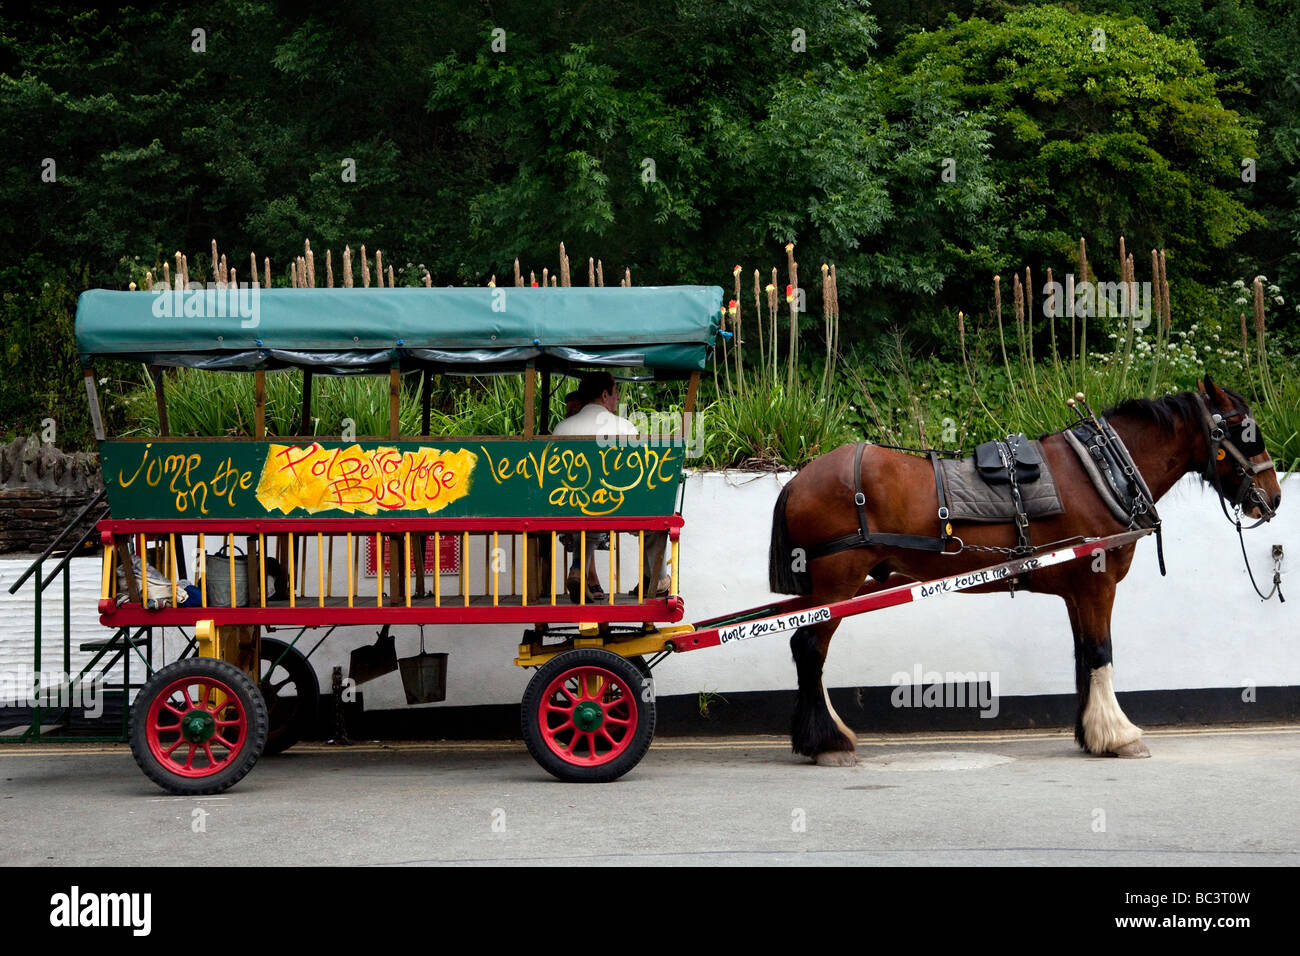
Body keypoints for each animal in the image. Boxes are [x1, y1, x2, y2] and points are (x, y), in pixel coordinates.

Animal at [764, 377, 1284, 764]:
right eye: (1246, 431)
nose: (1274, 498)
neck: (1102, 471)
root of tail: (798, 478)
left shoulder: (1077, 589)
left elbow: (1083, 655)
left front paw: (1091, 734)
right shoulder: (1097, 583)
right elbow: (1101, 652)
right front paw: (1119, 735)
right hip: (838, 582)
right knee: (809, 647)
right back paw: (827, 742)